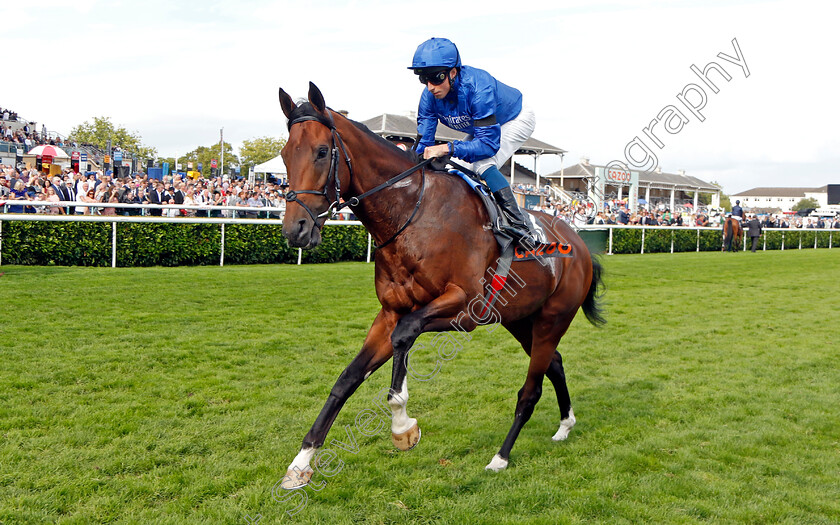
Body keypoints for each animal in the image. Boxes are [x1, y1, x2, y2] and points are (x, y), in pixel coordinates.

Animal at [278, 82, 608, 488]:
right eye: (284, 154)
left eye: (322, 152)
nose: (295, 230)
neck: (412, 214)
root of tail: (578, 242)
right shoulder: (390, 312)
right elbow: (347, 379)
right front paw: (301, 462)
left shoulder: (463, 307)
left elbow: (405, 336)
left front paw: (402, 425)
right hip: (519, 319)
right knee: (556, 363)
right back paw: (565, 425)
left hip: (553, 318)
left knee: (530, 390)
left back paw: (500, 457)